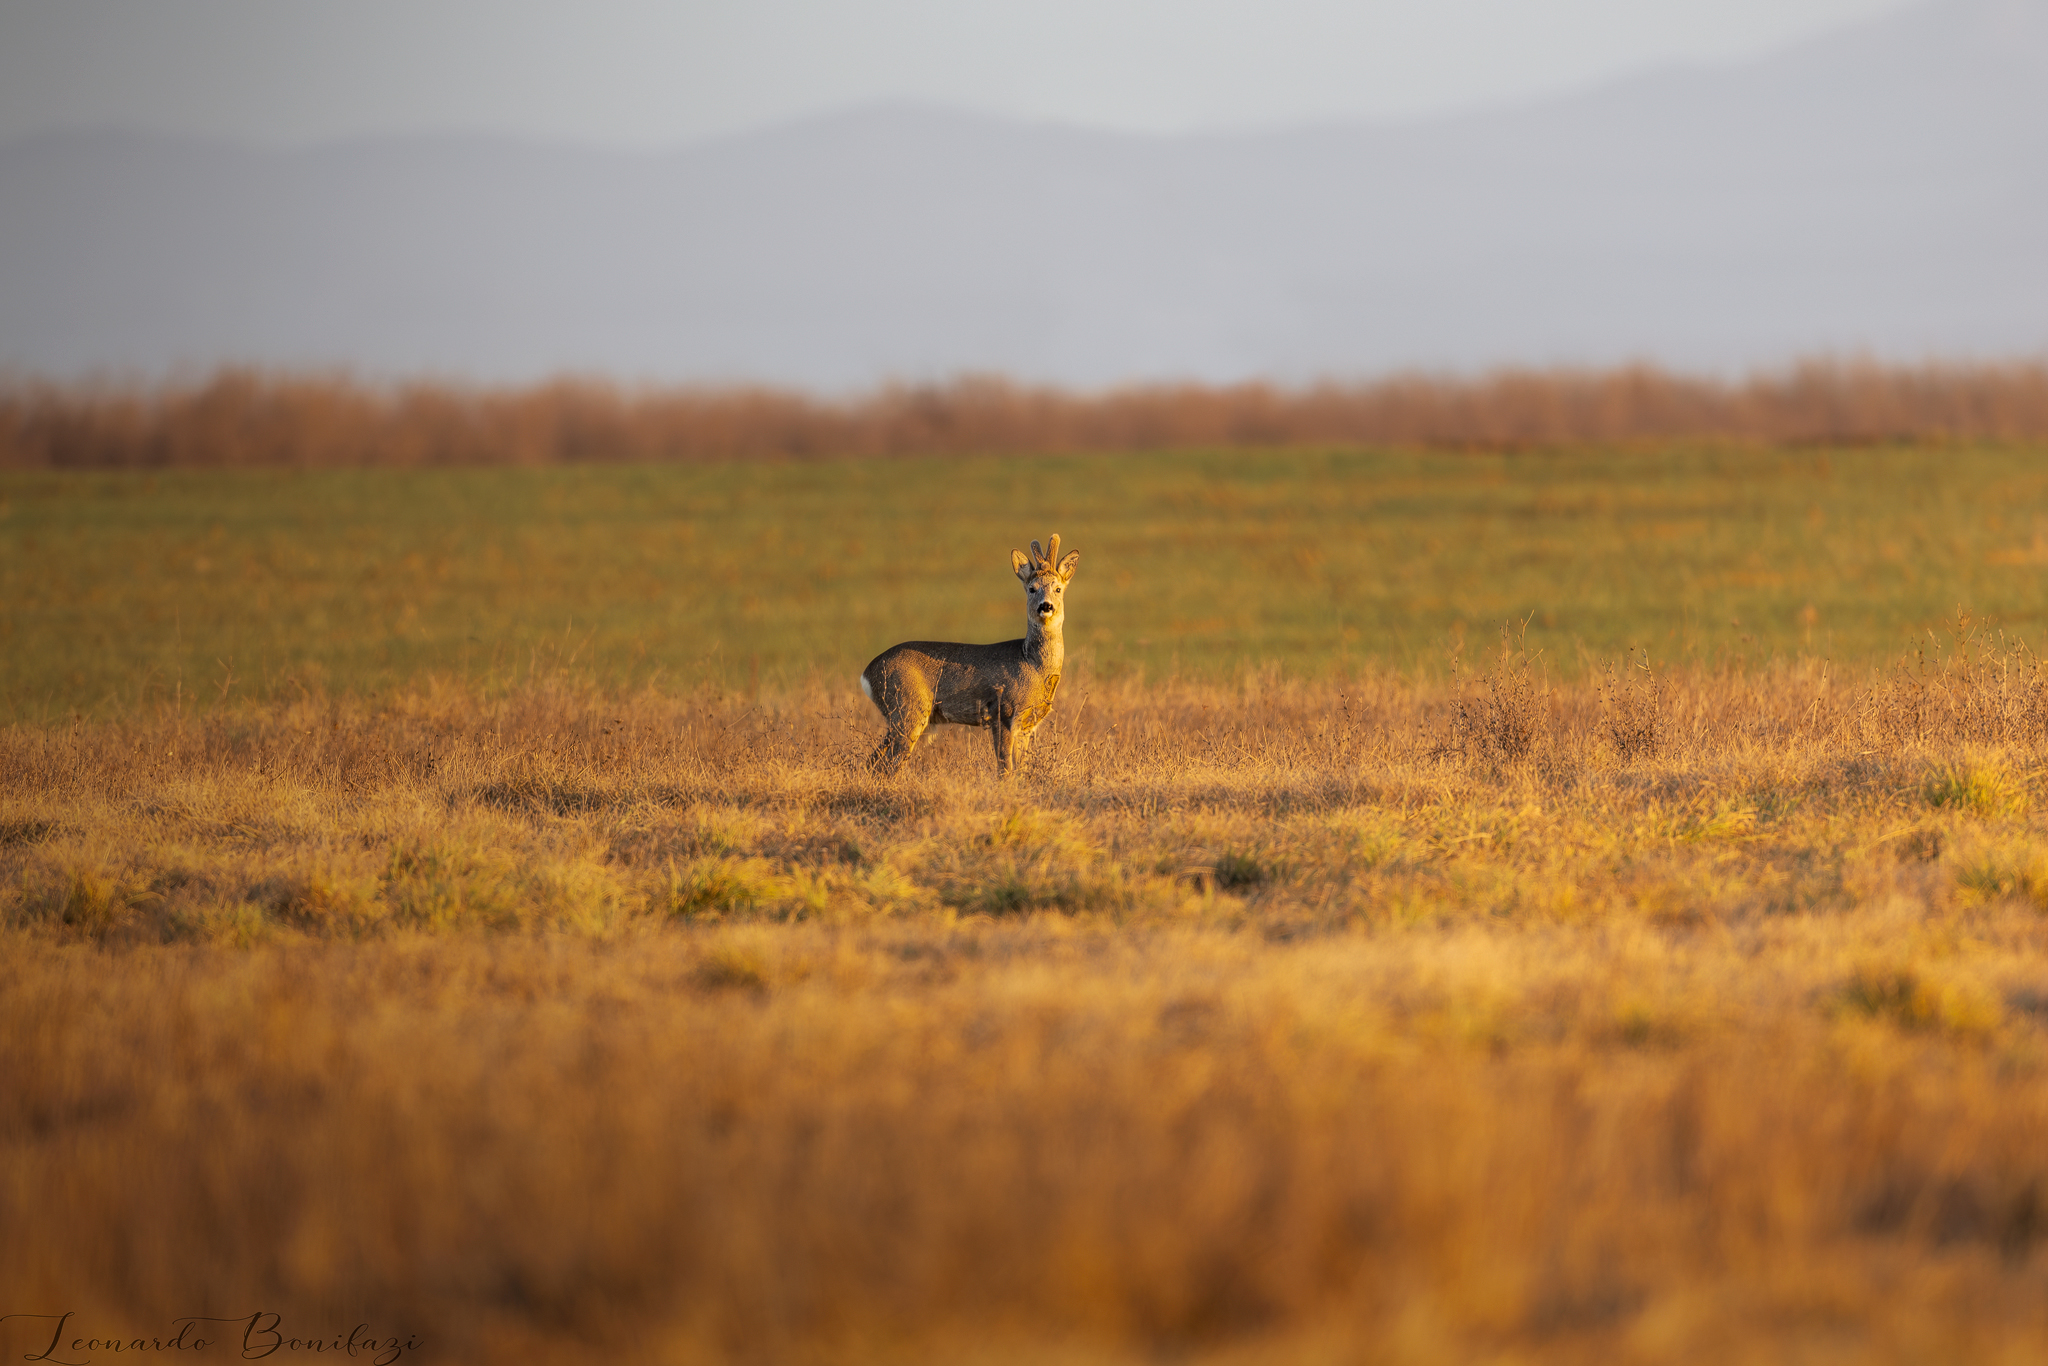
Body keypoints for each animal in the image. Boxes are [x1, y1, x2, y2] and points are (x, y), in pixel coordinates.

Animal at [859, 533, 1080, 778]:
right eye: (1032, 588)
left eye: (1058, 588)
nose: (1046, 606)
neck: (1033, 664)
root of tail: (867, 673)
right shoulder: (1002, 711)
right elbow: (1005, 767)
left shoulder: (1027, 724)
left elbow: (1019, 767)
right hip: (907, 707)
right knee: (887, 763)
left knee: (874, 761)